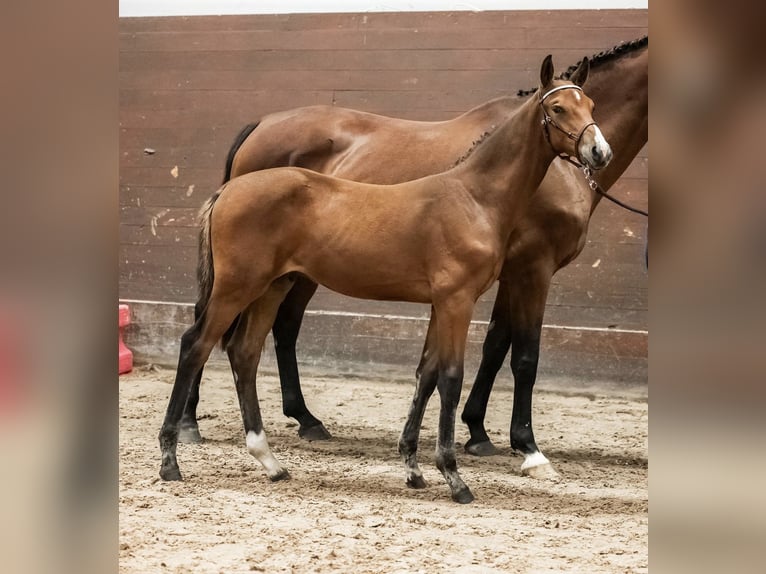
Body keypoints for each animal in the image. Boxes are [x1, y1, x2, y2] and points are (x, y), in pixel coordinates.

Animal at [178, 37, 648, 482]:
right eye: (557, 107)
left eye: (592, 105)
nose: (598, 152)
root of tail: (260, 124)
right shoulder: (533, 268)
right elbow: (524, 357)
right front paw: (528, 449)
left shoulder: (503, 275)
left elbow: (494, 345)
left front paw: (477, 433)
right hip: (252, 277)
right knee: (209, 325)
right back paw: (187, 422)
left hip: (290, 275)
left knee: (279, 329)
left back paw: (305, 420)